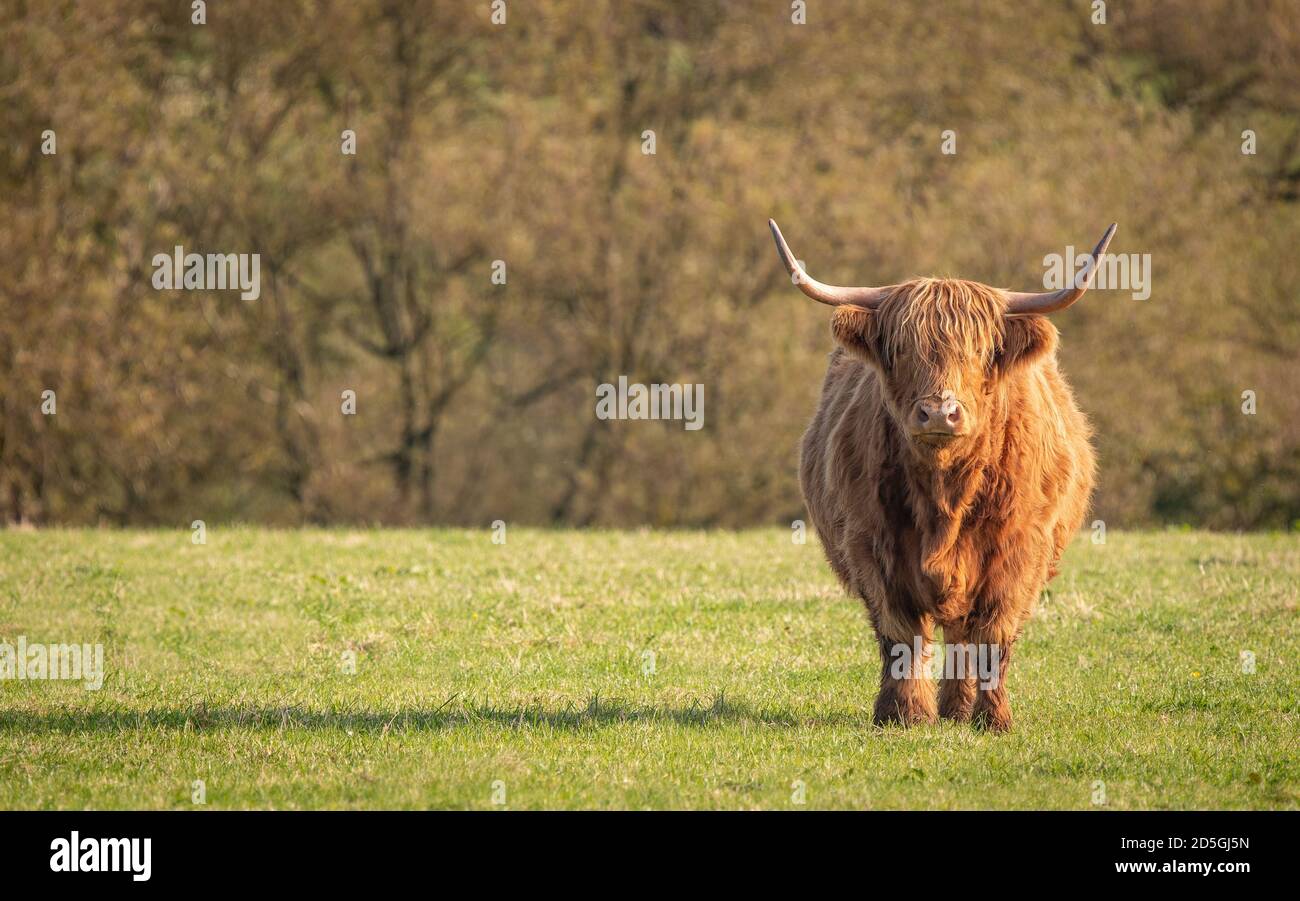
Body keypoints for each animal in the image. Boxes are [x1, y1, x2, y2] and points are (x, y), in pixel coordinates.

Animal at [769, 218, 1114, 732]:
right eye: (900, 351)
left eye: (982, 352)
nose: (938, 412)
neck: (944, 494)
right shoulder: (872, 545)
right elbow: (901, 635)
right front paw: (904, 714)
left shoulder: (1019, 551)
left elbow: (993, 635)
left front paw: (994, 719)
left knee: (964, 635)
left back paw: (960, 708)